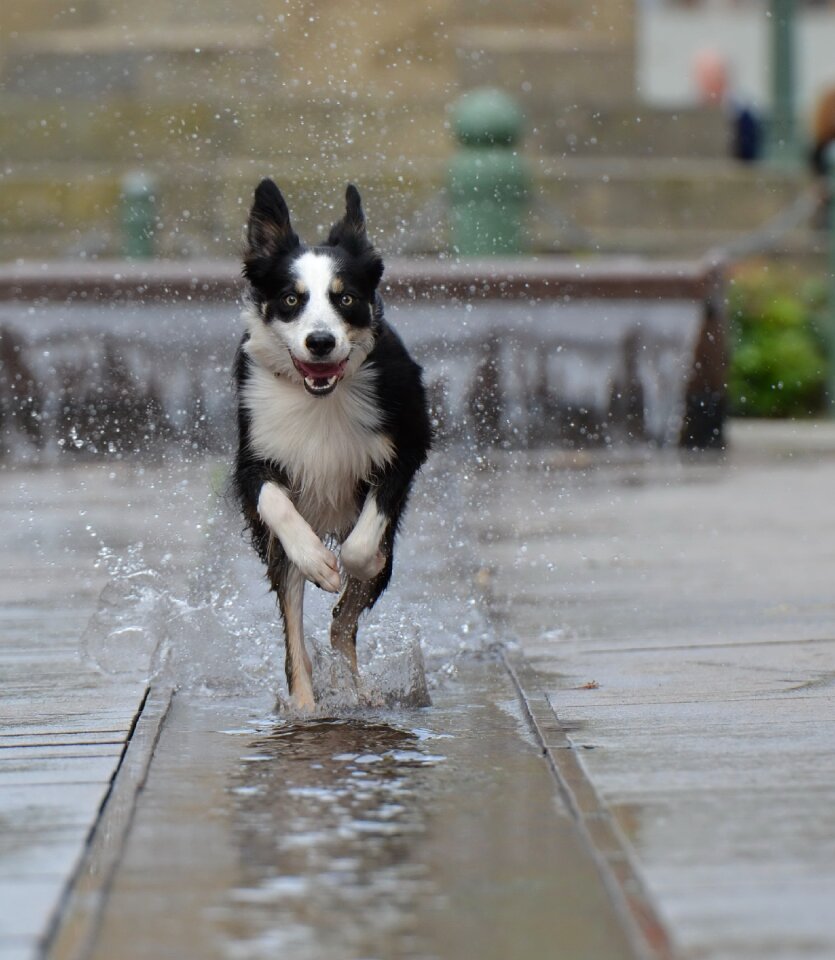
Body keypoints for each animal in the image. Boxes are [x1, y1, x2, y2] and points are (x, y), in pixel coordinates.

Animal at [233, 180, 432, 708]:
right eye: (289, 299)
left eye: (345, 299)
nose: (320, 342)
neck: (321, 397)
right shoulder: (252, 458)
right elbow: (276, 505)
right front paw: (319, 564)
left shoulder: (407, 446)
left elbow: (364, 548)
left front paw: (358, 561)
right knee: (295, 636)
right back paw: (305, 705)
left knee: (342, 624)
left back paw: (354, 689)